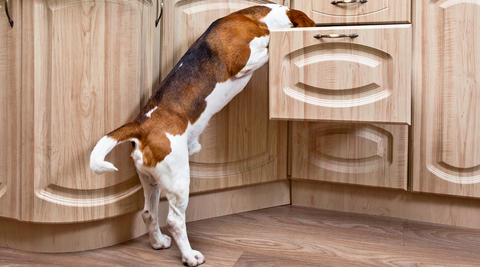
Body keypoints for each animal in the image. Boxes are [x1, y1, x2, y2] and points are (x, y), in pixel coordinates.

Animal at [91, 4, 316, 267]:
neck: (256, 18)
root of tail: (141, 125)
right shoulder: (243, 60)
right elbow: (267, 50)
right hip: (178, 180)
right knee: (174, 221)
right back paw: (189, 256)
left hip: (151, 179)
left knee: (148, 213)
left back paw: (158, 243)